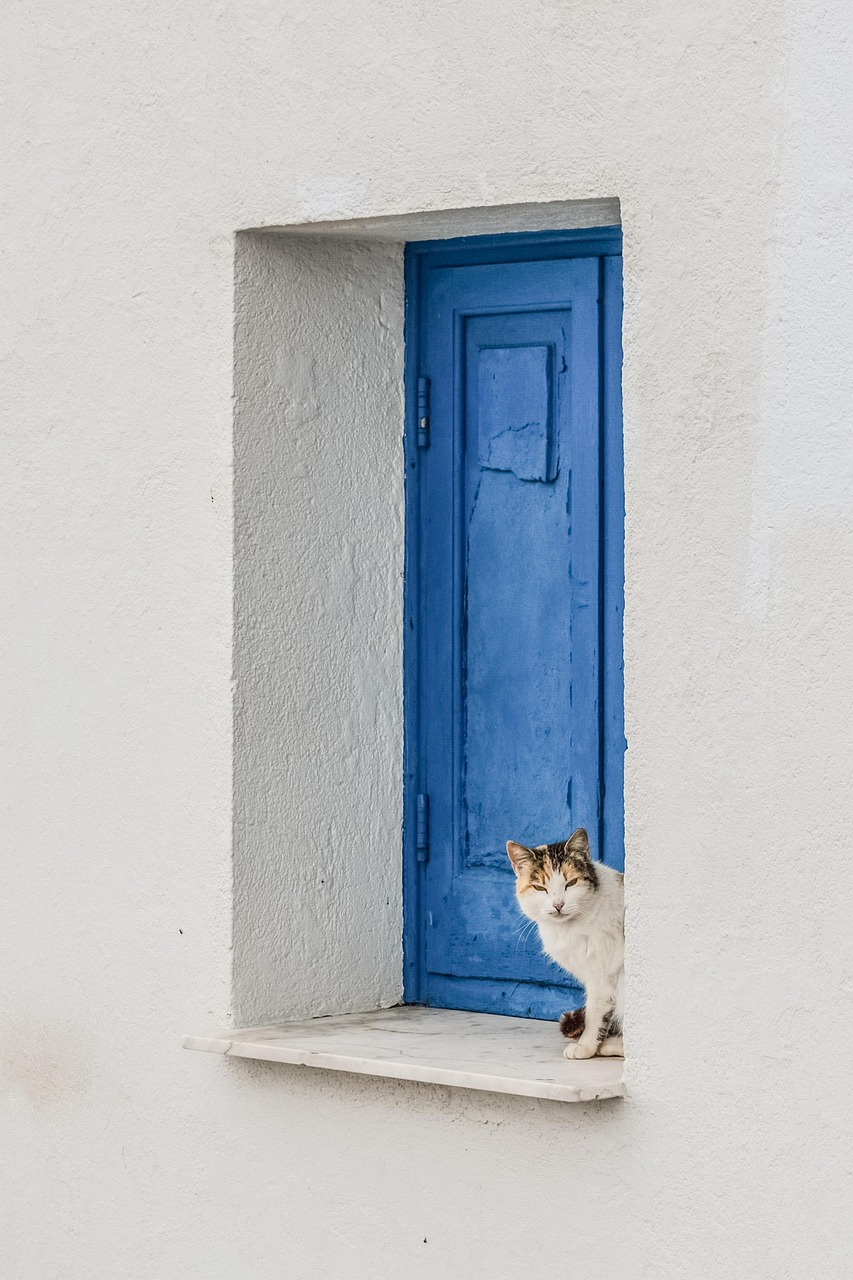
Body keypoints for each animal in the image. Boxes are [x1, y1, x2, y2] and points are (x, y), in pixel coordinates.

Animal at [502, 829, 622, 1059]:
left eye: (571, 883)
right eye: (540, 888)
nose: (558, 905)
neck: (567, 929)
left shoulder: (601, 975)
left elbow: (594, 1011)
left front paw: (585, 1046)